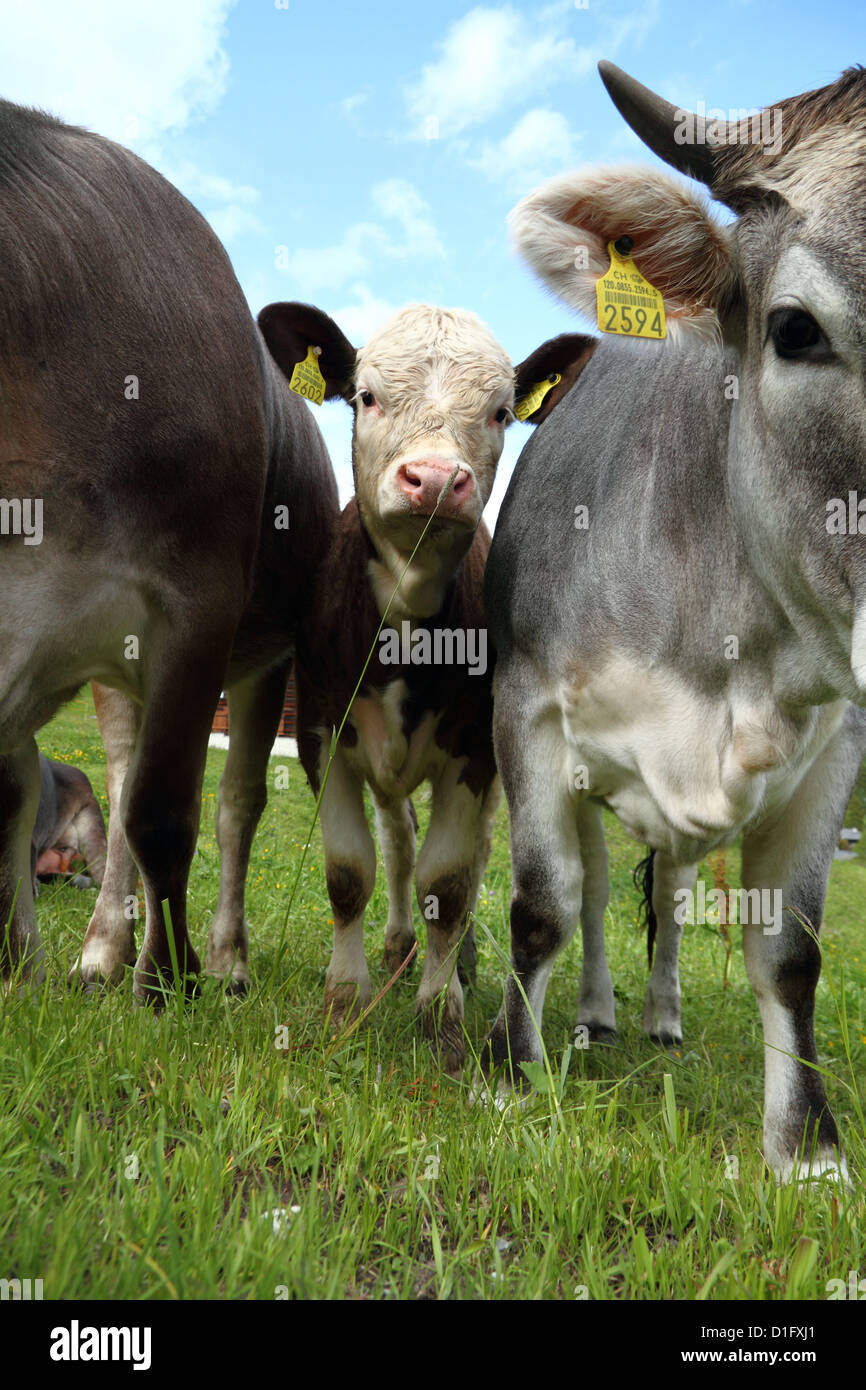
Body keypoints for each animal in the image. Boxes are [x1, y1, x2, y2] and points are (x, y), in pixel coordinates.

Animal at [257, 298, 522, 1067]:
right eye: (366, 397)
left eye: (501, 411)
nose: (433, 479)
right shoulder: (322, 734)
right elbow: (352, 872)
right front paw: (345, 999)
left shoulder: (474, 752)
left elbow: (450, 883)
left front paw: (441, 1017)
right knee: (400, 843)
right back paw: (400, 944)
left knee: (462, 861)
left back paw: (455, 962)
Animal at [483, 59, 866, 1178]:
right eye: (794, 329)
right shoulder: (526, 705)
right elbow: (543, 902)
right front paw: (511, 1073)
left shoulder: (836, 743)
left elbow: (787, 948)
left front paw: (806, 1147)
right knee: (600, 887)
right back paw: (594, 1014)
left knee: (664, 897)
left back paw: (654, 1015)